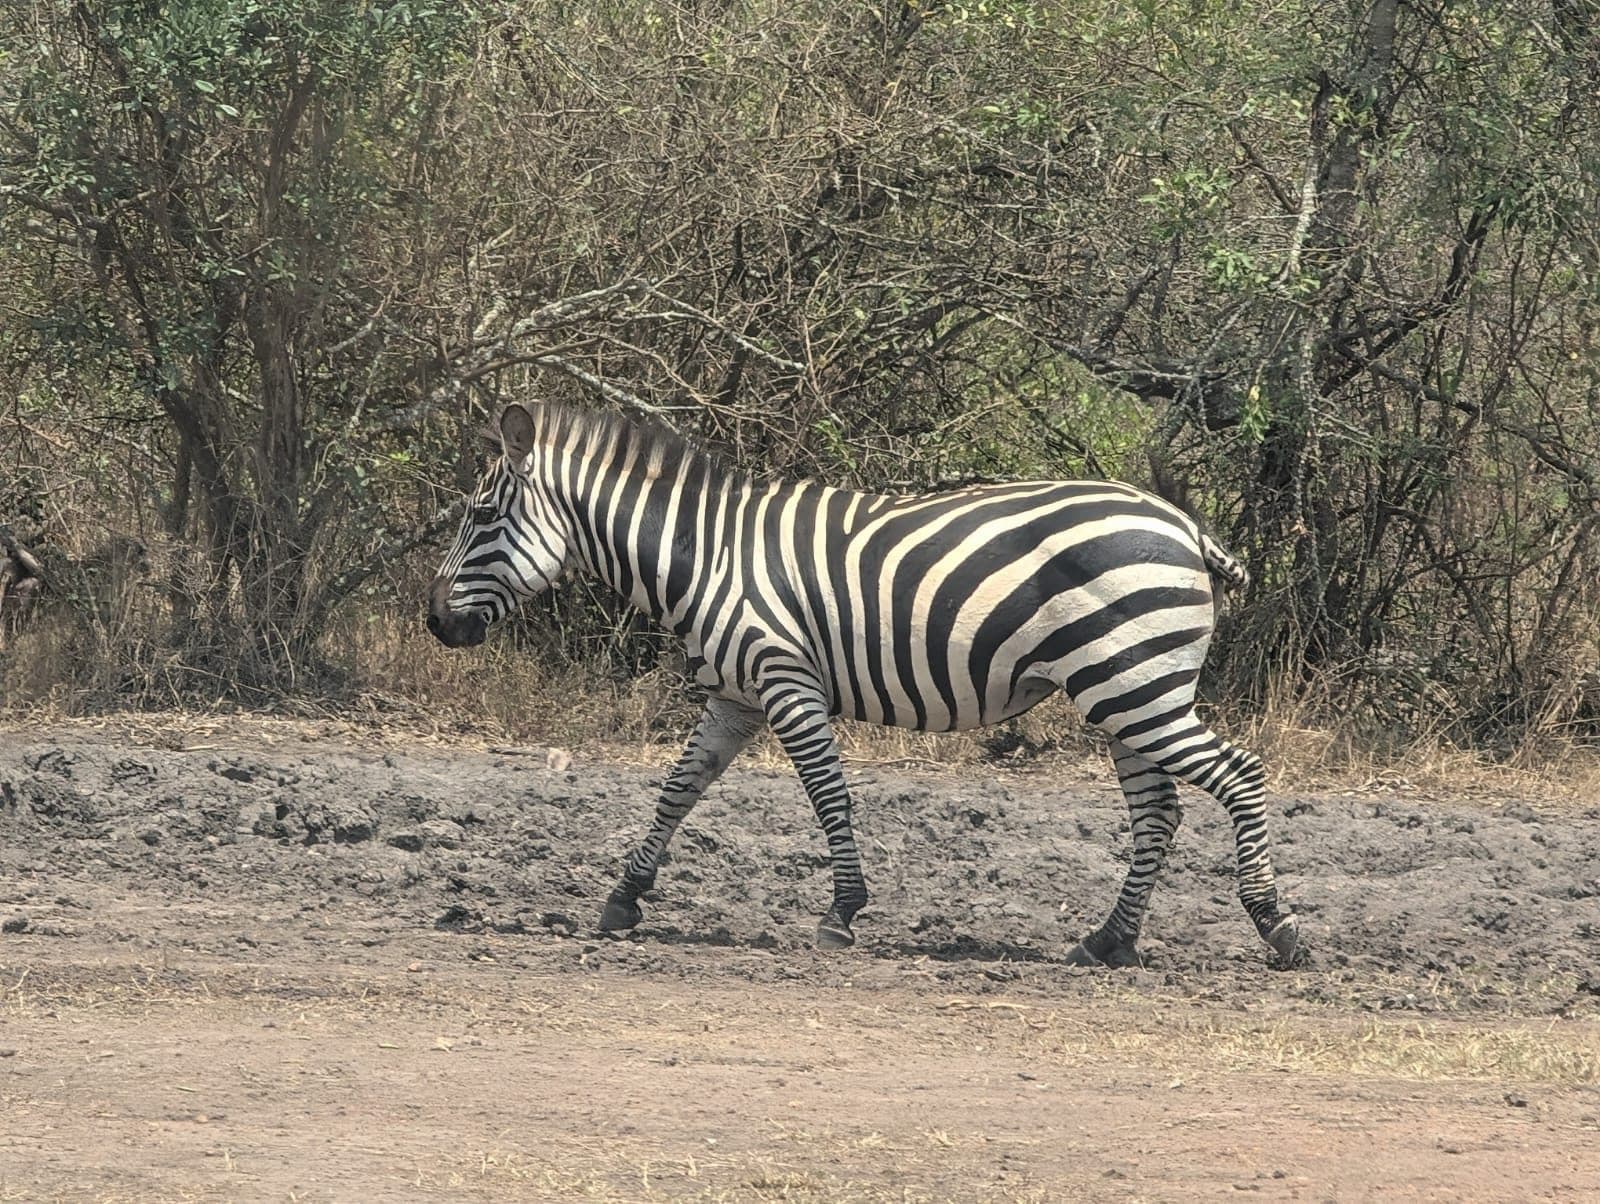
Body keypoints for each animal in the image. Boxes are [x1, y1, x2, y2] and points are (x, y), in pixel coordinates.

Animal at [427, 401, 1301, 969]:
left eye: (479, 516)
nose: (435, 621)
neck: (705, 557)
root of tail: (1183, 524)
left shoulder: (786, 680)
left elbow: (827, 795)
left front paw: (842, 913)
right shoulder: (734, 696)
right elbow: (678, 790)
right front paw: (624, 896)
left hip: (1130, 684)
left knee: (1239, 775)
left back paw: (1276, 927)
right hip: (1128, 690)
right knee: (1160, 811)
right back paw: (1108, 941)